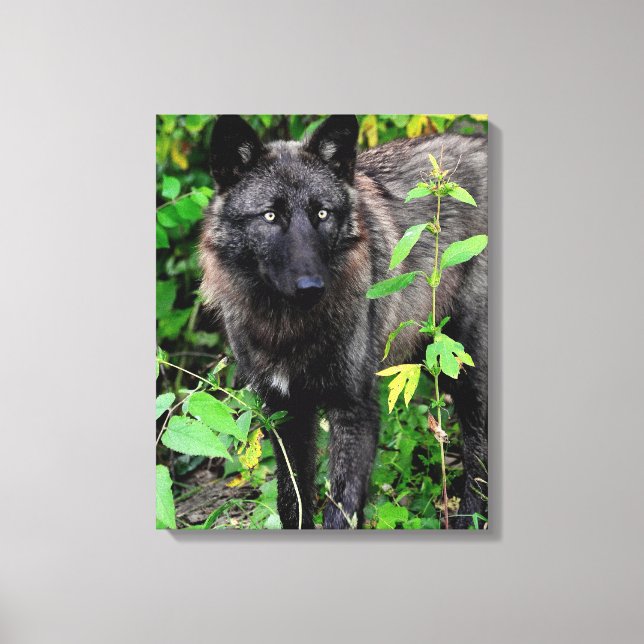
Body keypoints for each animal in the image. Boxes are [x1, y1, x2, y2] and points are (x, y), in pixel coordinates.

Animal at [199, 115, 487, 529]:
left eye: (322, 214)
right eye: (270, 215)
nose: (311, 287)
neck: (290, 329)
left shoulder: (354, 407)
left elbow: (341, 509)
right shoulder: (285, 412)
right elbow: (292, 500)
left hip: (464, 367)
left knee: (479, 448)